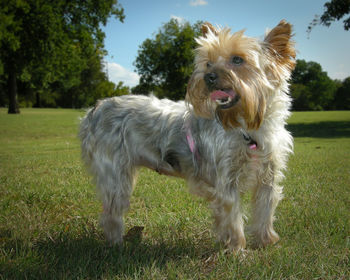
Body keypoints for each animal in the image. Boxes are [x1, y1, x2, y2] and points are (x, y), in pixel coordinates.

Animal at [78, 20, 296, 252]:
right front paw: (237, 249)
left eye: (238, 59)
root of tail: (95, 109)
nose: (208, 77)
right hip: (115, 172)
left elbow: (265, 209)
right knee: (111, 212)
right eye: (208, 63)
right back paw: (117, 244)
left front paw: (266, 241)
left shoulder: (269, 175)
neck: (247, 125)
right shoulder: (226, 180)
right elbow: (233, 217)